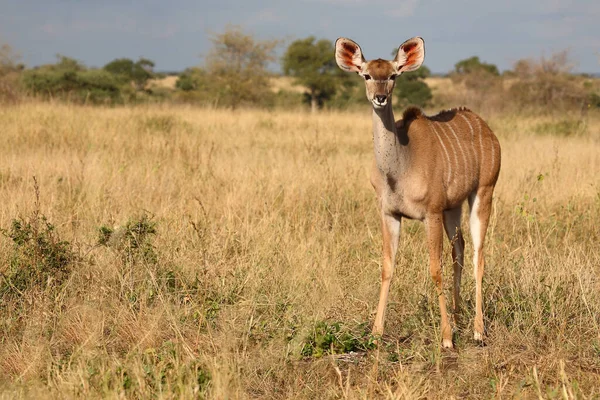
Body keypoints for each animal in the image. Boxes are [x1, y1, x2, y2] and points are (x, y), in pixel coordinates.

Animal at [336, 36, 500, 346]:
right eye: (366, 75)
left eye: (393, 75)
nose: (380, 97)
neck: (399, 165)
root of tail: (486, 128)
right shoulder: (390, 214)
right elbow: (387, 267)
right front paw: (376, 332)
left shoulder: (430, 214)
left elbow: (435, 269)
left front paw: (446, 338)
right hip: (453, 207)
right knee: (459, 250)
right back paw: (459, 318)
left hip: (483, 193)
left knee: (478, 256)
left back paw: (477, 330)